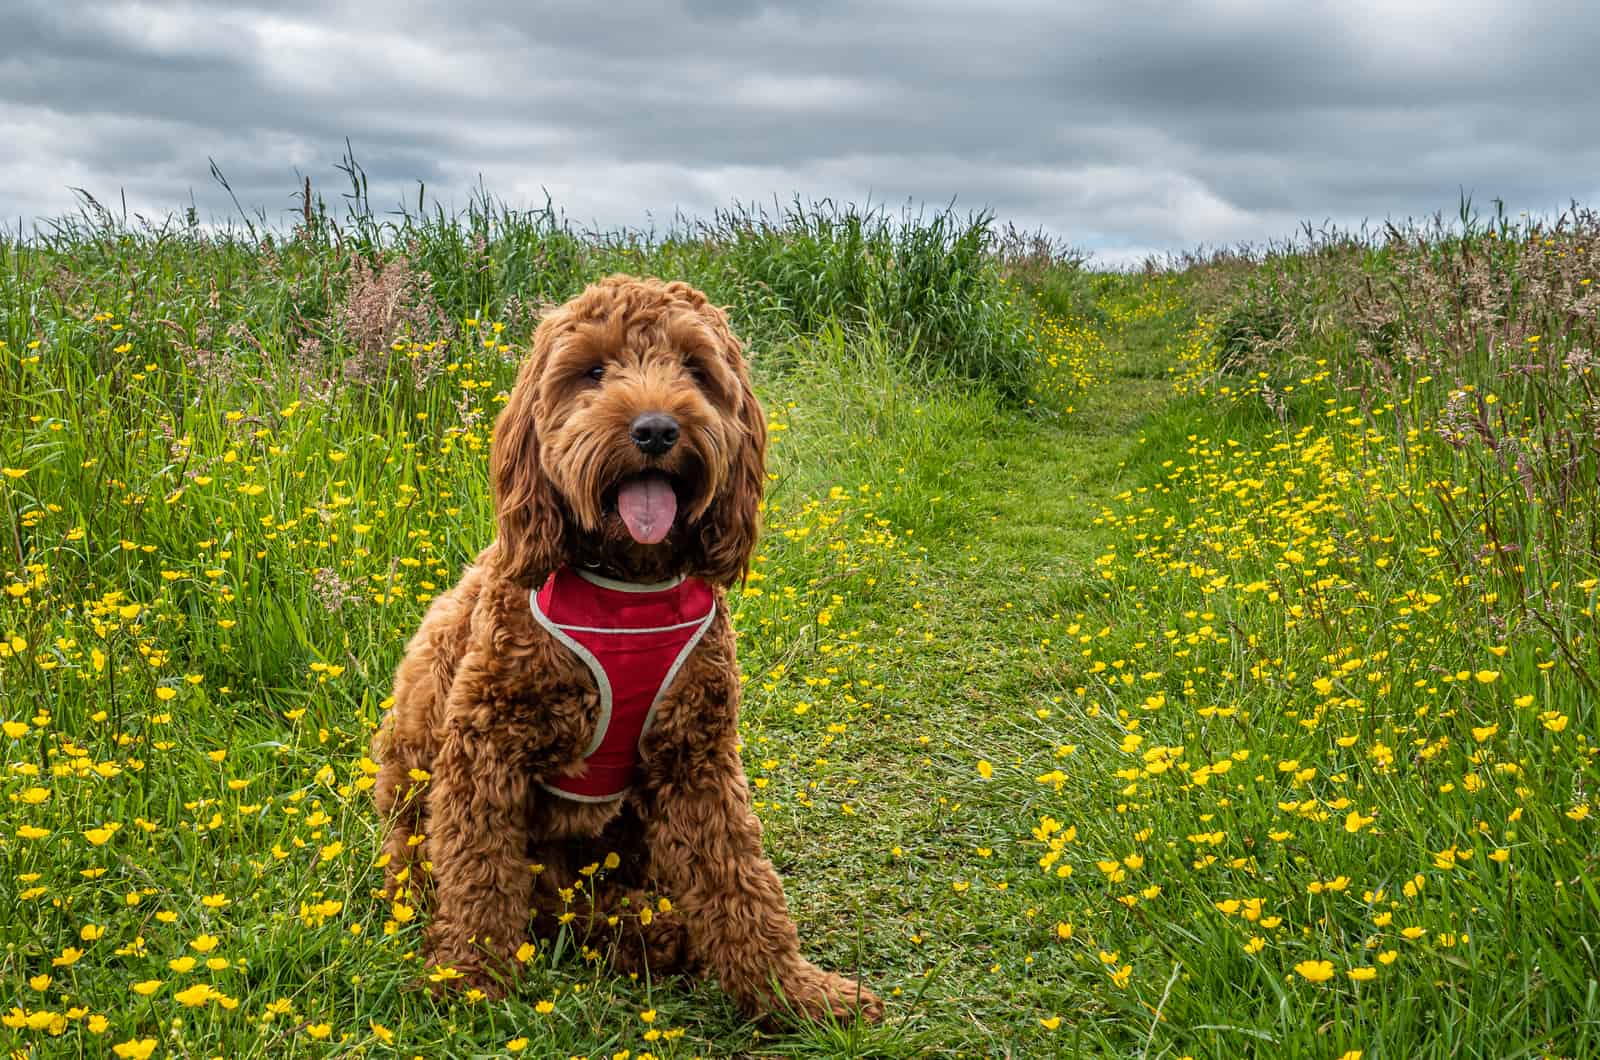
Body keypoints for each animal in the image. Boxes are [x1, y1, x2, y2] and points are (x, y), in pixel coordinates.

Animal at [368, 275, 883, 1031]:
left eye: (695, 369)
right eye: (593, 372)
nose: (656, 430)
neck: (628, 583)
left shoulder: (697, 756)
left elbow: (742, 882)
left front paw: (792, 992)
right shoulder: (483, 750)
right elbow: (478, 876)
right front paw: (469, 980)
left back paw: (652, 928)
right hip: (414, 791)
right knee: (502, 894)